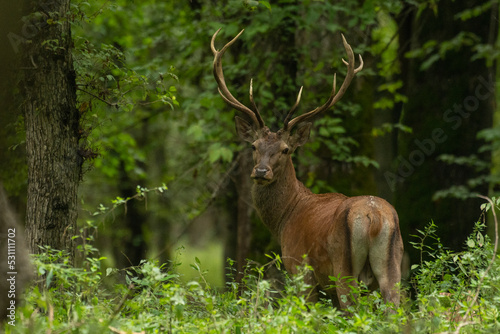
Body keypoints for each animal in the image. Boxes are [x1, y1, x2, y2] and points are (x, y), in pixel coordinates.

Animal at [210, 28, 402, 308]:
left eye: (285, 150)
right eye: (254, 146)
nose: (261, 172)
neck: (285, 217)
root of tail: (374, 216)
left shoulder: (300, 269)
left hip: (343, 268)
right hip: (393, 266)